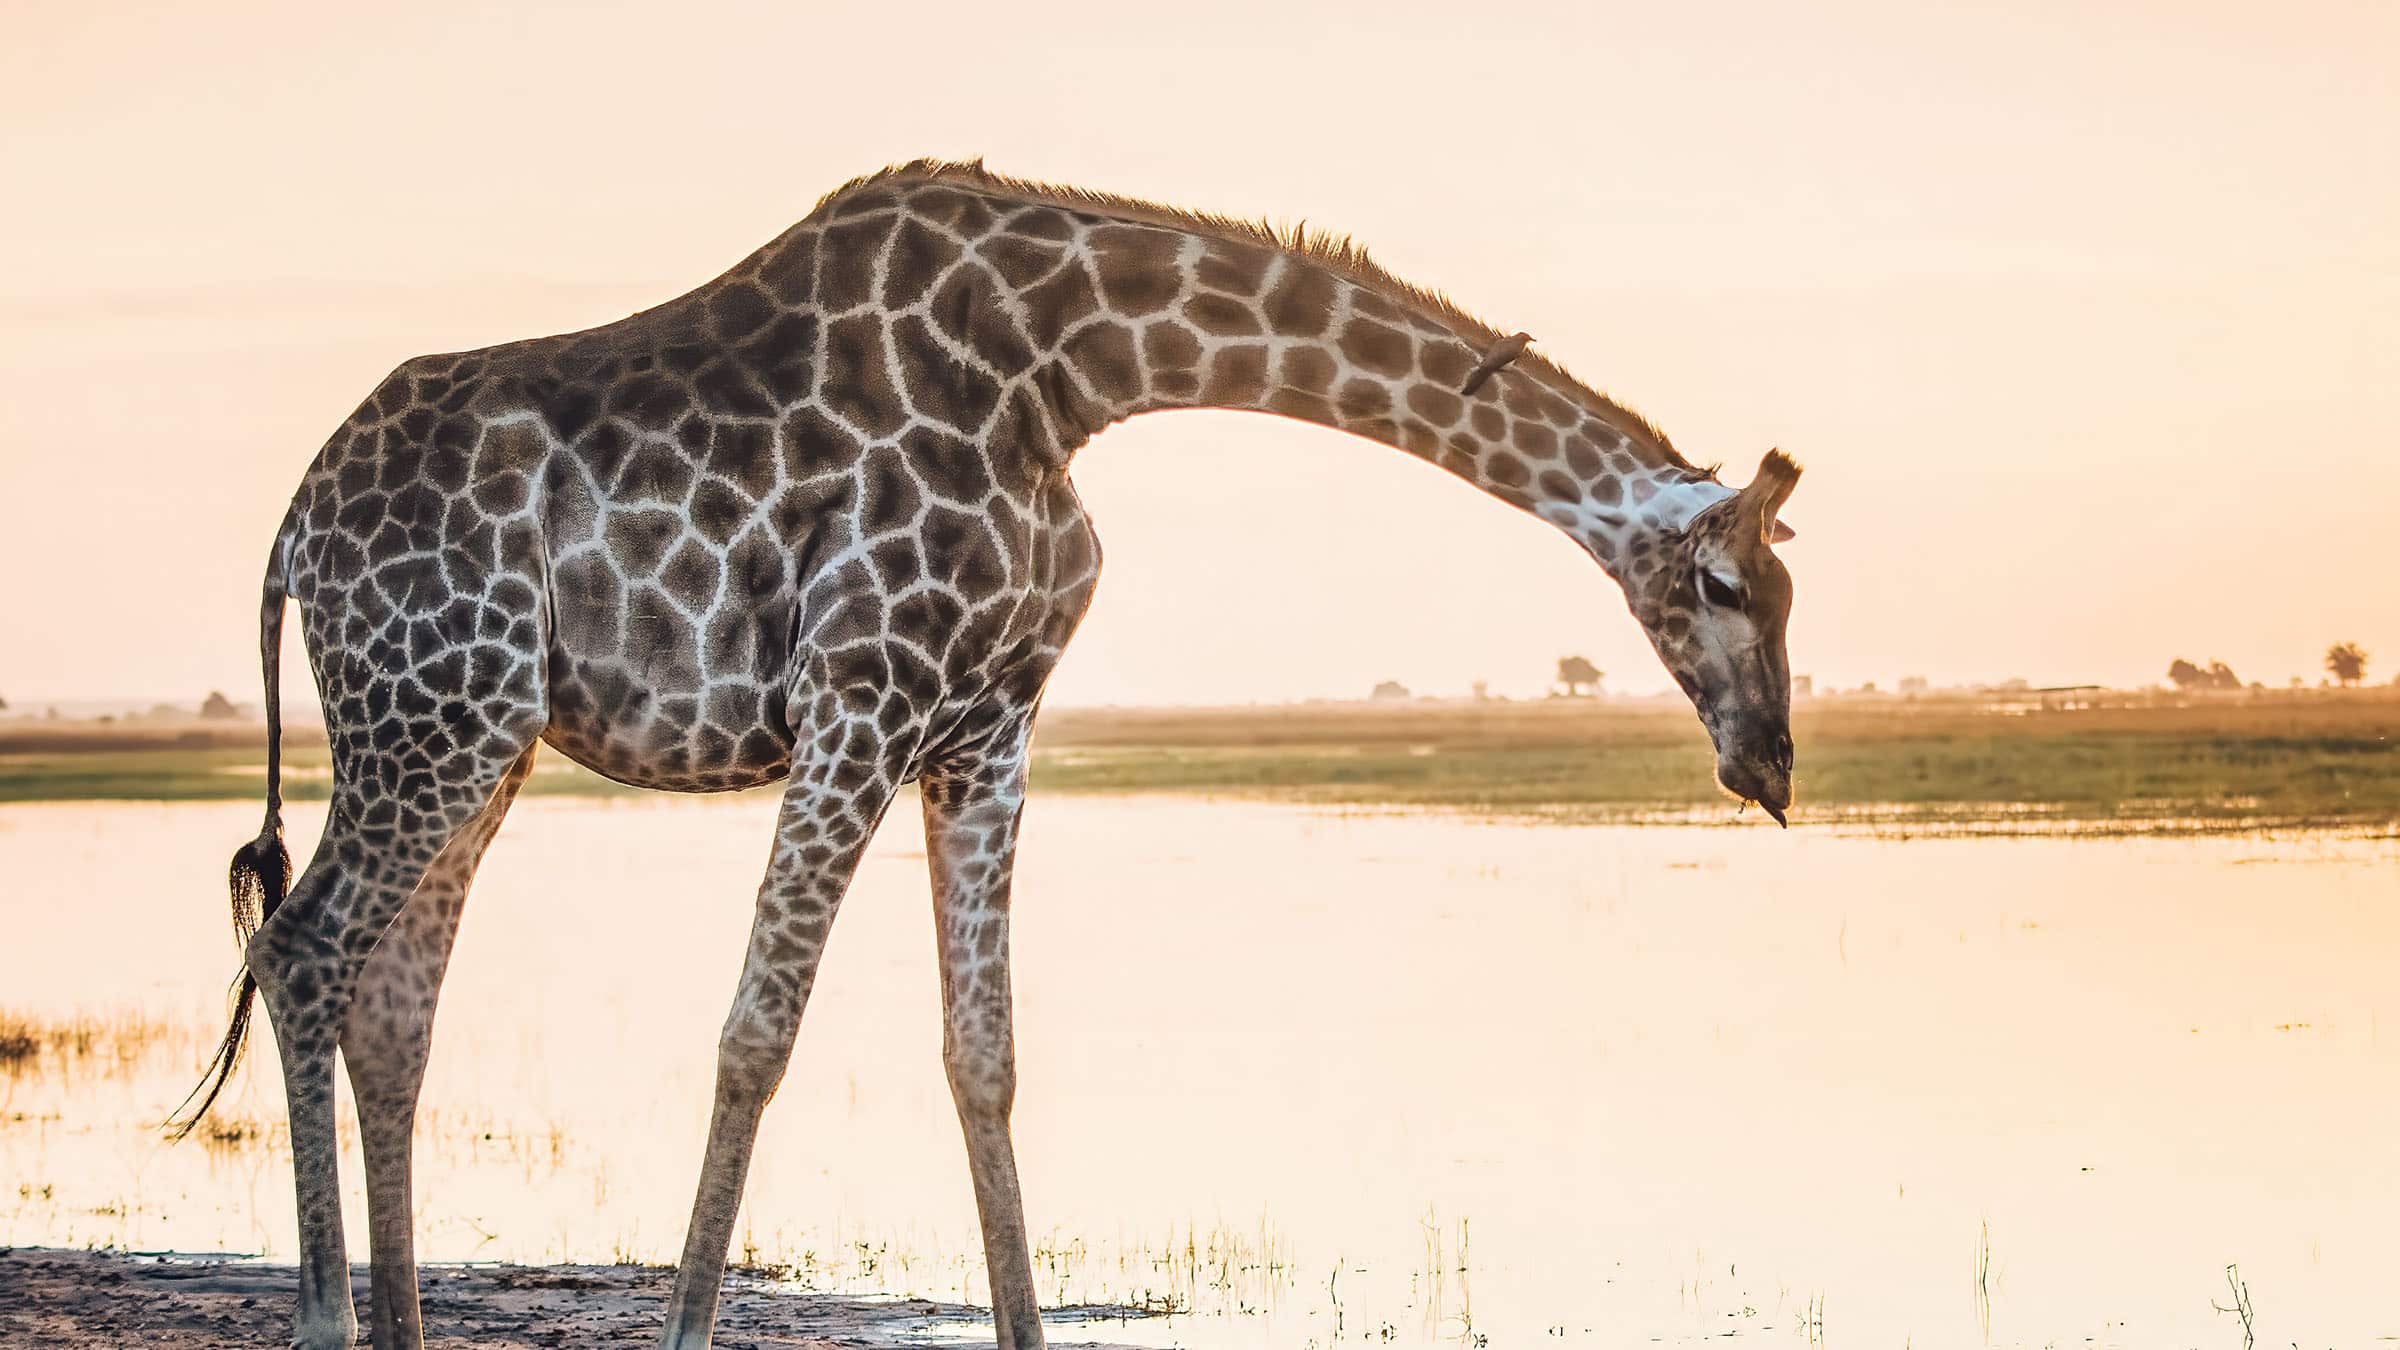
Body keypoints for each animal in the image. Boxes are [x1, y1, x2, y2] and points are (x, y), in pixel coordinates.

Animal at [172, 159, 1803, 1350]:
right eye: (1727, 586)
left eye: (1787, 593)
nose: (1772, 764)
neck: (1076, 369)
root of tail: (293, 533)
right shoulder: (861, 692)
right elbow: (756, 1033)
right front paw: (688, 1331)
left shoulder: (985, 726)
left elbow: (985, 1053)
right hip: (429, 717)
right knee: (303, 949)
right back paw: (323, 1324)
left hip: (479, 736)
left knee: (393, 1002)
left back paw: (399, 1329)